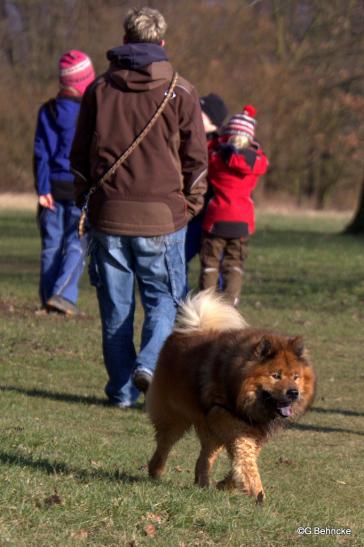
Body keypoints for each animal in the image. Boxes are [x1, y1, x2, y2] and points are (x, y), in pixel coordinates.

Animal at [146, 294, 316, 504]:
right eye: (276, 375)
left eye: (295, 377)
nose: (293, 393)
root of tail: (190, 328)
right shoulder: (228, 418)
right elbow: (245, 457)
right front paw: (257, 491)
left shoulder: (254, 431)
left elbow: (244, 458)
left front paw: (228, 484)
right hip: (176, 416)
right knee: (165, 443)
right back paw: (155, 471)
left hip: (209, 428)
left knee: (205, 456)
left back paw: (202, 483)